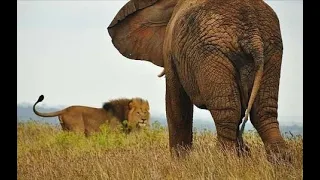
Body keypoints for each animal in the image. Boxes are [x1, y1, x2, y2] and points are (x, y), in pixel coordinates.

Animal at [107, 0, 290, 162]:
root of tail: (252, 35)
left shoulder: (171, 51)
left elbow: (176, 103)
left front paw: (180, 163)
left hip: (211, 55)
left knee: (228, 112)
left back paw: (225, 161)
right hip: (272, 49)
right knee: (264, 112)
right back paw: (279, 163)